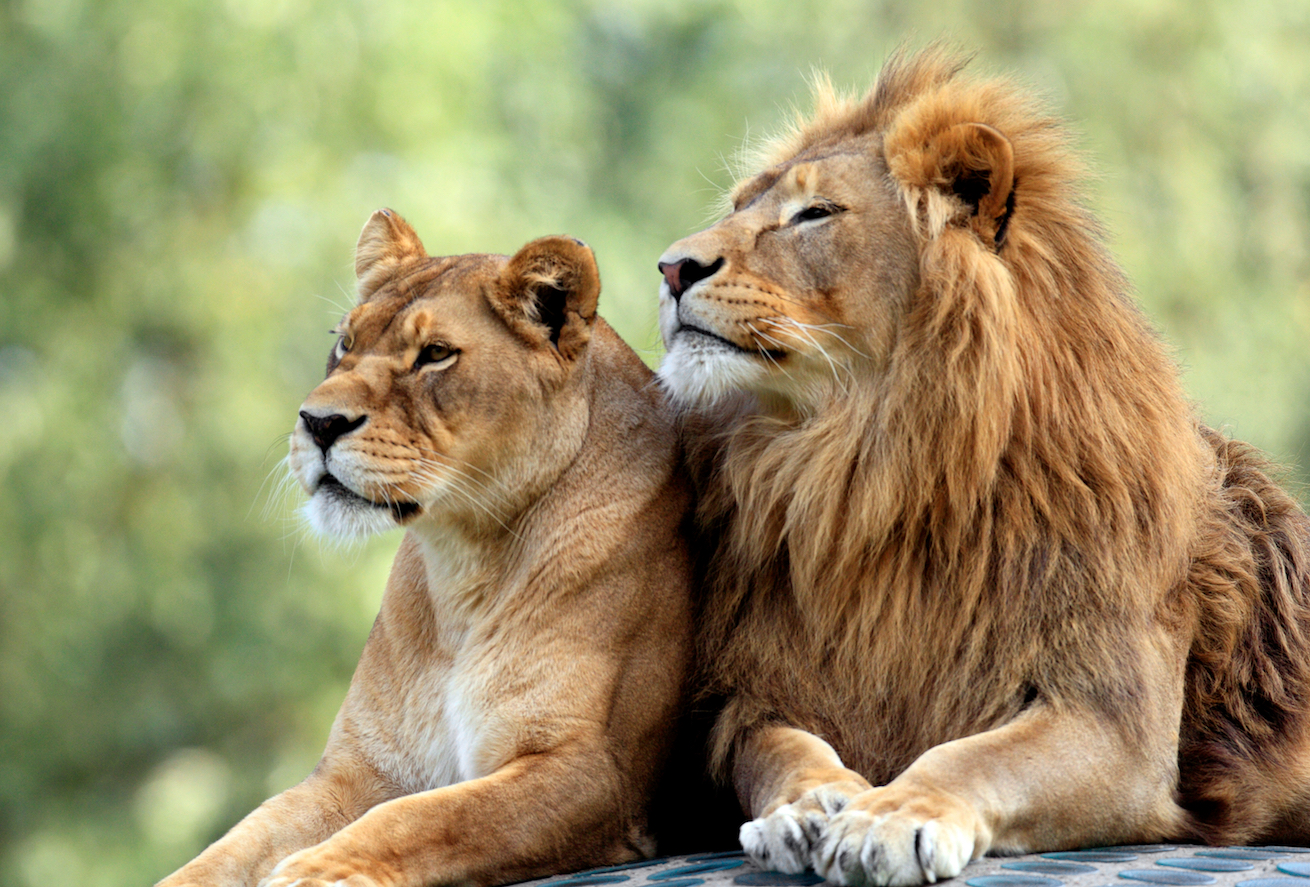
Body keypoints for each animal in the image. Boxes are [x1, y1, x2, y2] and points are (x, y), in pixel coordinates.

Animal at [156, 210, 696, 887]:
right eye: (345, 343)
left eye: (435, 354)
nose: (318, 422)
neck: (464, 564)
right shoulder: (359, 768)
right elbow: (238, 842)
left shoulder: (595, 772)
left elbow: (427, 818)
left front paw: (314, 871)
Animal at [655, 46, 1310, 886]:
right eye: (740, 204)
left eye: (815, 214)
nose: (671, 267)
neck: (865, 468)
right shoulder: (754, 695)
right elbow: (779, 750)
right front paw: (808, 805)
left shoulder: (1115, 718)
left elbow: (972, 757)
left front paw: (891, 815)